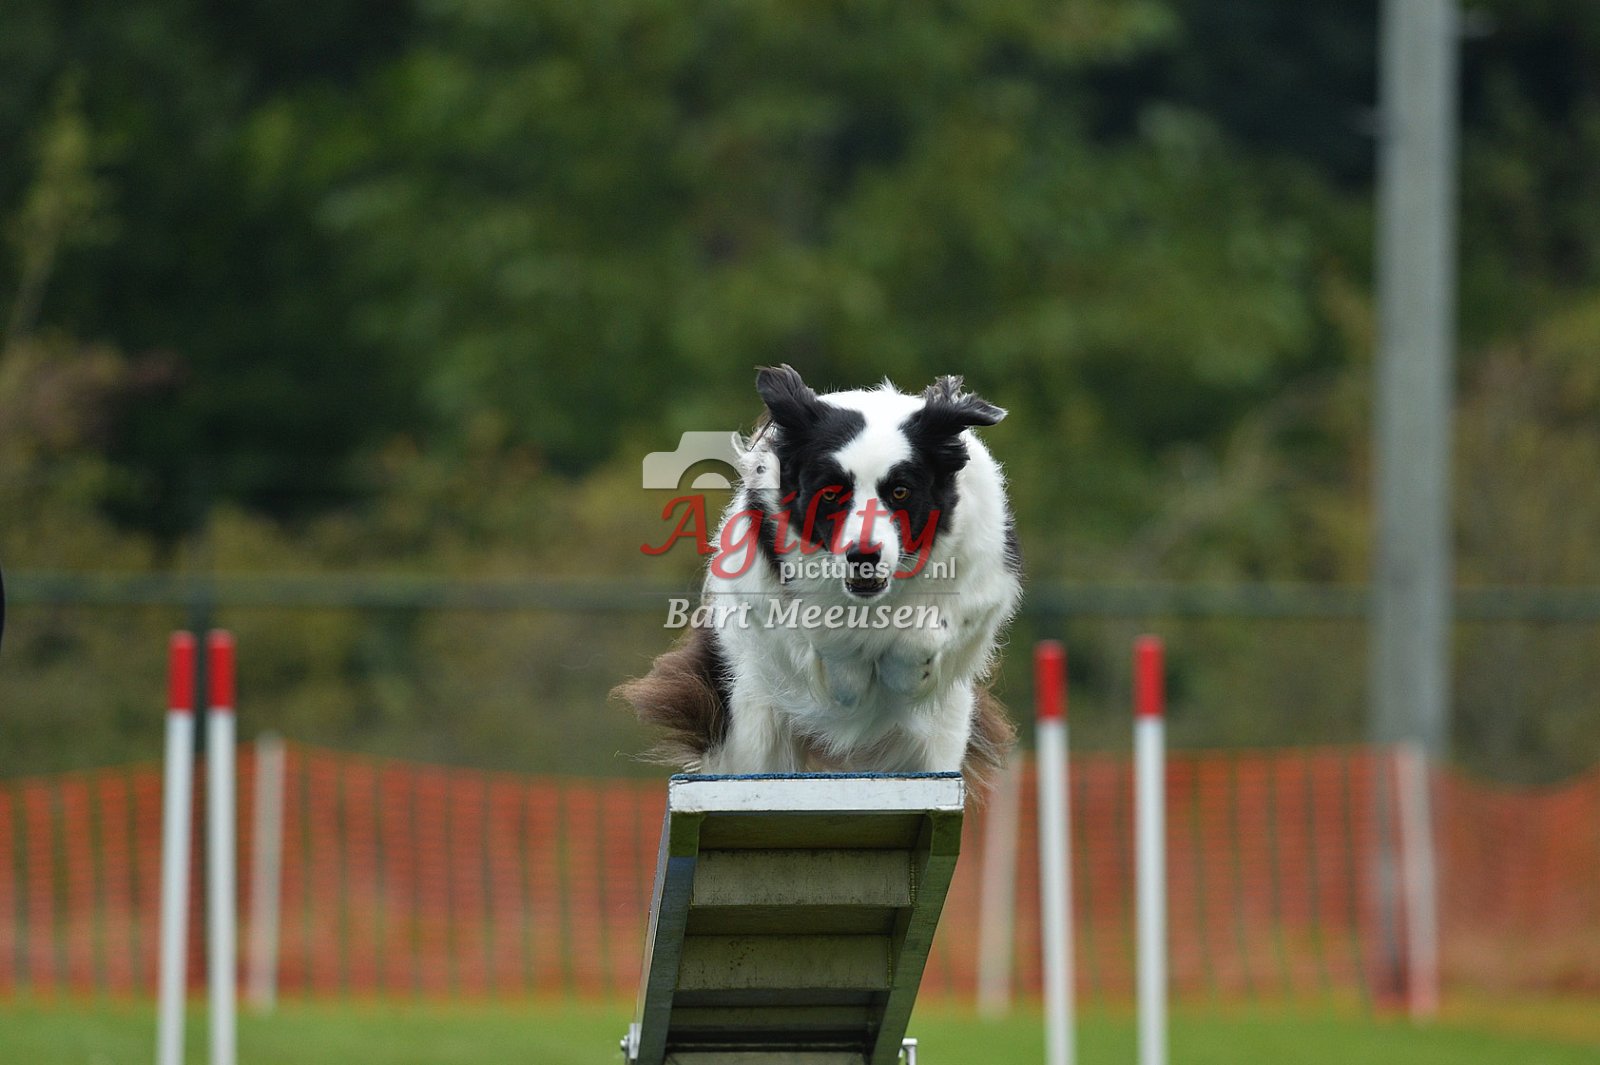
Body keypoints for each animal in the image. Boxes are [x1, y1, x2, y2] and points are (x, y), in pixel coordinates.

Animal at [616, 365, 1022, 785]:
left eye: (900, 491)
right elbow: (821, 630)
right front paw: (850, 681)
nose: (863, 556)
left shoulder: (983, 579)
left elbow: (929, 629)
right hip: (754, 719)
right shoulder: (765, 589)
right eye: (829, 494)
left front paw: (904, 674)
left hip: (942, 735)